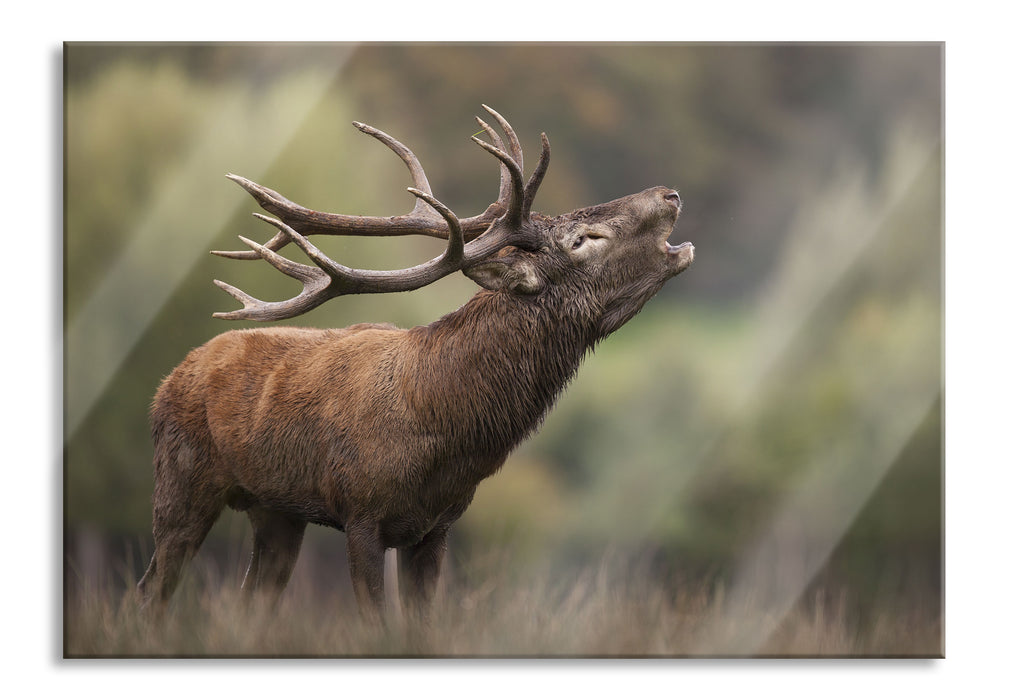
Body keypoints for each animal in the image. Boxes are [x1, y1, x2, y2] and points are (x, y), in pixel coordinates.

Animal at [138, 102, 694, 621]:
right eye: (583, 240)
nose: (670, 194)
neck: (446, 434)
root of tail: (167, 382)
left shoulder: (436, 526)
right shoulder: (361, 514)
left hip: (275, 511)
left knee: (250, 599)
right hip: (180, 482)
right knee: (151, 589)